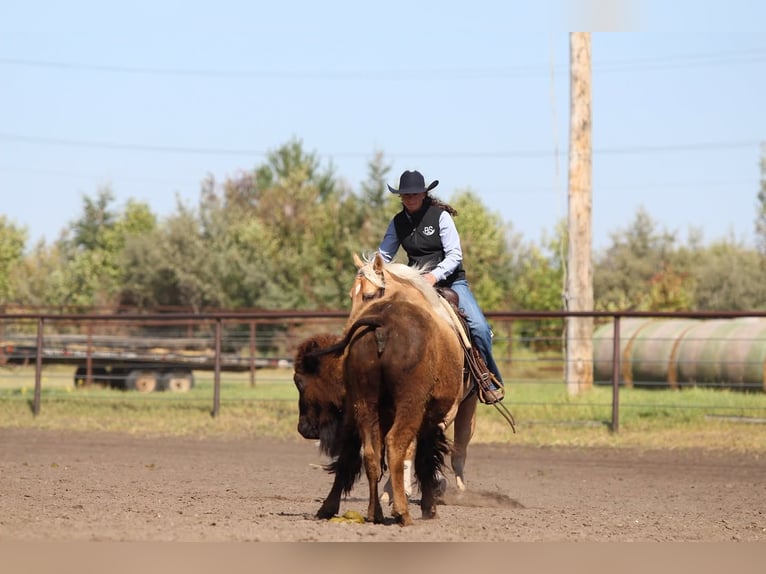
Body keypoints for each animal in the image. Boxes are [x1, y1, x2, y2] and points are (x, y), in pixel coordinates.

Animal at [304, 295, 466, 525]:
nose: (305, 427)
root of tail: (383, 322)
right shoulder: (430, 421)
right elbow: (425, 461)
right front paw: (430, 509)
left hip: (365, 404)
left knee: (370, 453)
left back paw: (373, 513)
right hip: (409, 406)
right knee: (395, 444)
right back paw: (402, 513)